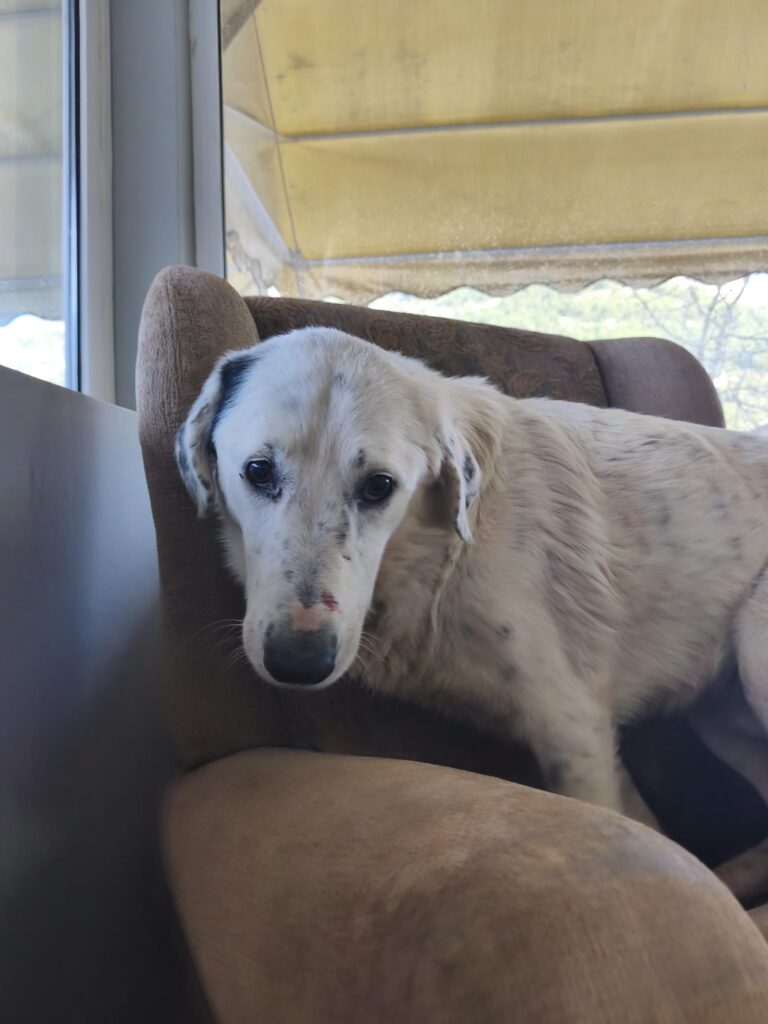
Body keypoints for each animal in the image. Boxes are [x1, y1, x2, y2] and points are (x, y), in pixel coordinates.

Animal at [176, 327, 768, 860]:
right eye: (258, 470)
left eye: (379, 486)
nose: (299, 662)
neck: (436, 556)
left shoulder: (573, 728)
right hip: (725, 719)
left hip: (753, 655)